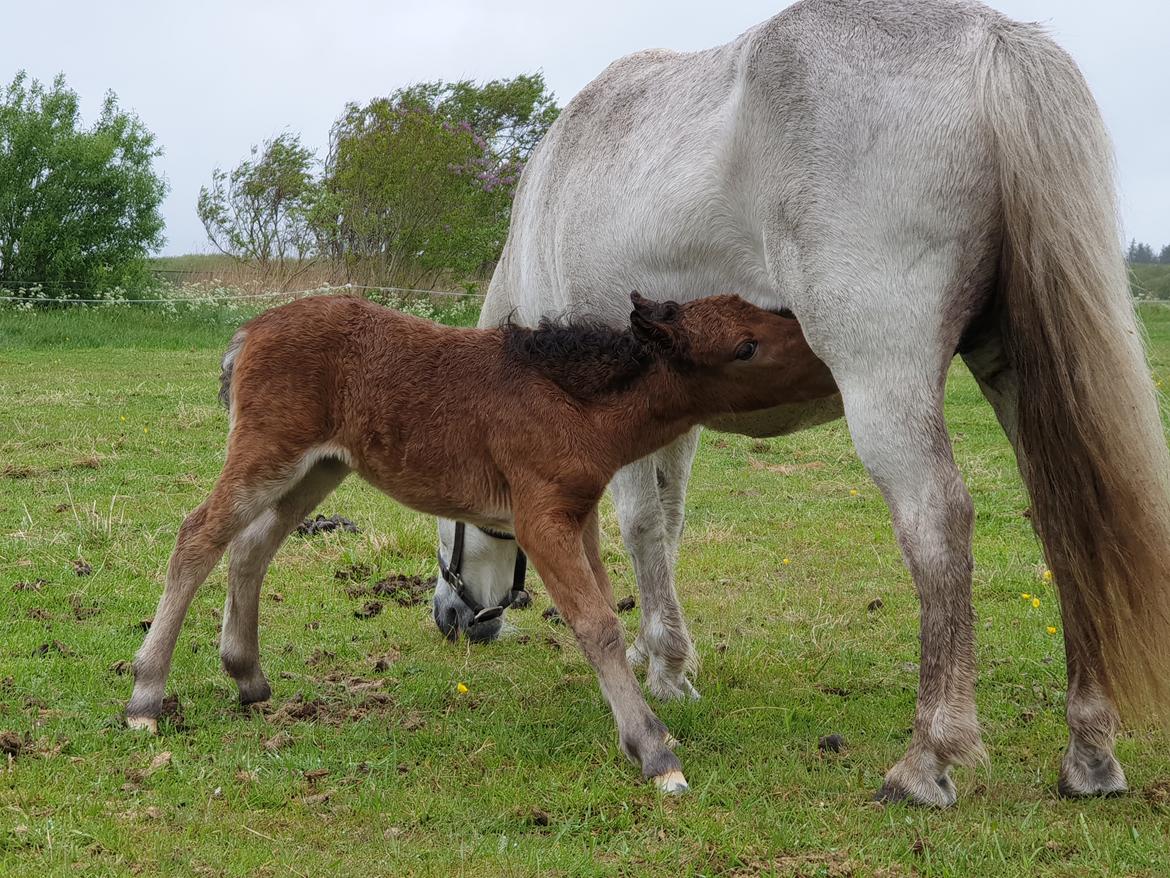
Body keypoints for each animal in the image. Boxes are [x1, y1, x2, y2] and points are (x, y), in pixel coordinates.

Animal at [125, 292, 842, 796]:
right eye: (746, 347)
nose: (829, 361)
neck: (574, 401)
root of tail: (251, 330)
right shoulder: (541, 518)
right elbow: (597, 623)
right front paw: (655, 751)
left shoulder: (579, 515)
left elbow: (605, 603)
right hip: (269, 453)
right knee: (199, 536)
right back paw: (145, 699)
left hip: (319, 466)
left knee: (252, 546)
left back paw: (247, 674)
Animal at [430, 0, 1170, 810]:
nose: (449, 618)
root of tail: (990, 44)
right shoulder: (671, 420)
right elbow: (668, 523)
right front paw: (667, 662)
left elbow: (640, 524)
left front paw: (661, 668)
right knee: (1065, 520)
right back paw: (1089, 753)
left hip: (884, 382)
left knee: (937, 524)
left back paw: (926, 760)